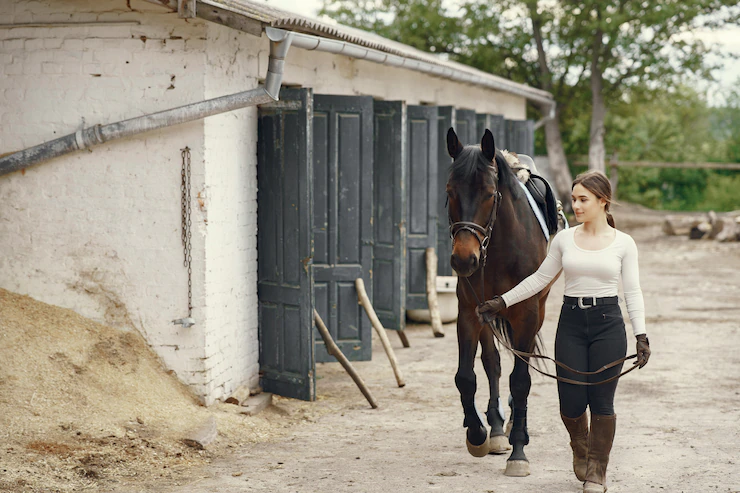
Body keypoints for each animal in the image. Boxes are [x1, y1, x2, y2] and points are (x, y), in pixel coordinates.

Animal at [446, 127, 556, 476]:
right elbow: (466, 376)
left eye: (490, 194)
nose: (464, 259)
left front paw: (519, 451)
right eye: (450, 192)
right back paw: (495, 430)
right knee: (492, 363)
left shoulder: (527, 314)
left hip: (537, 311)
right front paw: (477, 434)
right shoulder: (469, 312)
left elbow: (521, 380)